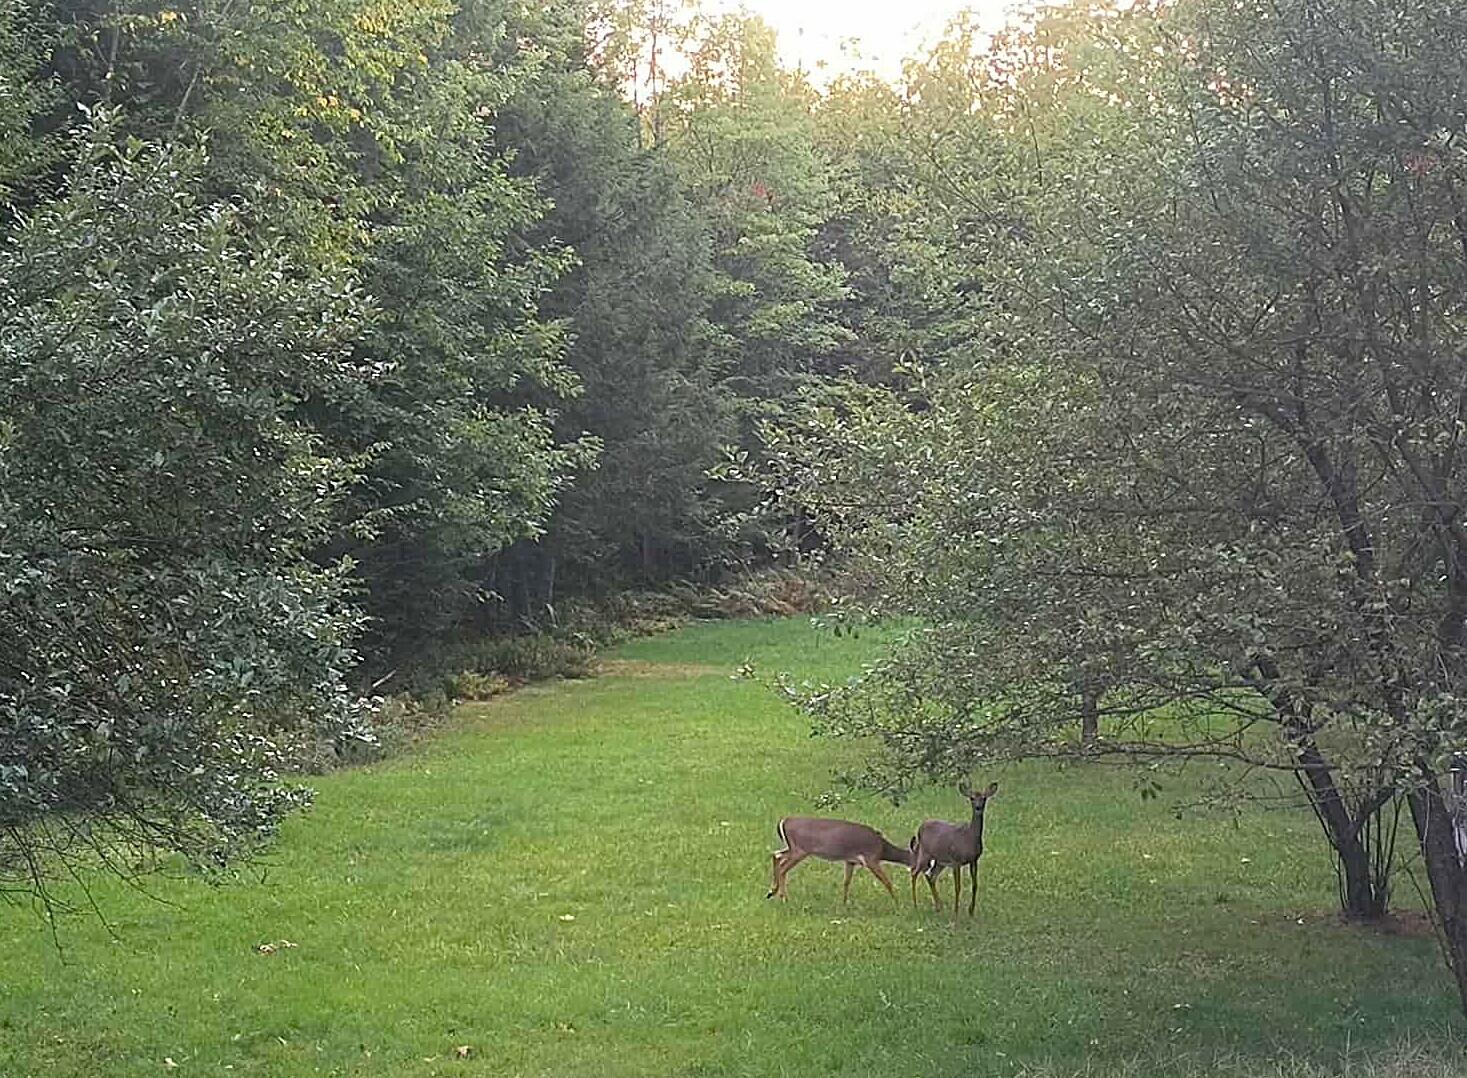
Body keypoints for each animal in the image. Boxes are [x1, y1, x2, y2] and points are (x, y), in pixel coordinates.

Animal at [766, 816, 912, 904]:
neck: (882, 848)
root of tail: (783, 821)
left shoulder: (850, 861)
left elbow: (846, 882)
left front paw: (844, 903)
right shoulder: (871, 858)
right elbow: (887, 881)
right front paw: (897, 903)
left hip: (793, 848)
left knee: (776, 855)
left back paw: (772, 891)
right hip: (800, 849)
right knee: (783, 867)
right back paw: (783, 897)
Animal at [909, 782, 999, 917]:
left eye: (984, 798)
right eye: (972, 798)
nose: (978, 808)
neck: (969, 837)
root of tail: (920, 827)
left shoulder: (974, 860)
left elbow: (975, 885)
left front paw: (971, 911)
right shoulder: (956, 860)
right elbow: (957, 887)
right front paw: (956, 912)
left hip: (940, 861)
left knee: (931, 876)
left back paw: (939, 906)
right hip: (925, 853)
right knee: (915, 872)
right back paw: (915, 905)